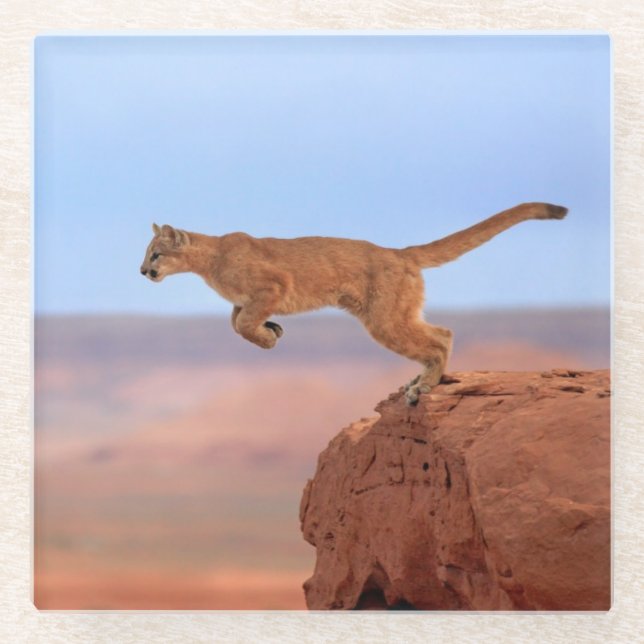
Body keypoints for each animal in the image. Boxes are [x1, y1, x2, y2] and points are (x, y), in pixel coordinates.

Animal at [140, 202, 567, 404]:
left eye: (156, 254)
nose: (143, 271)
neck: (209, 260)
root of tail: (399, 252)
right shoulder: (246, 300)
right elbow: (236, 321)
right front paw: (273, 328)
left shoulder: (274, 285)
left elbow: (243, 324)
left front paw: (268, 337)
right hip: (397, 312)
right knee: (442, 330)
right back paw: (420, 380)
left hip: (384, 319)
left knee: (439, 339)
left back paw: (424, 387)